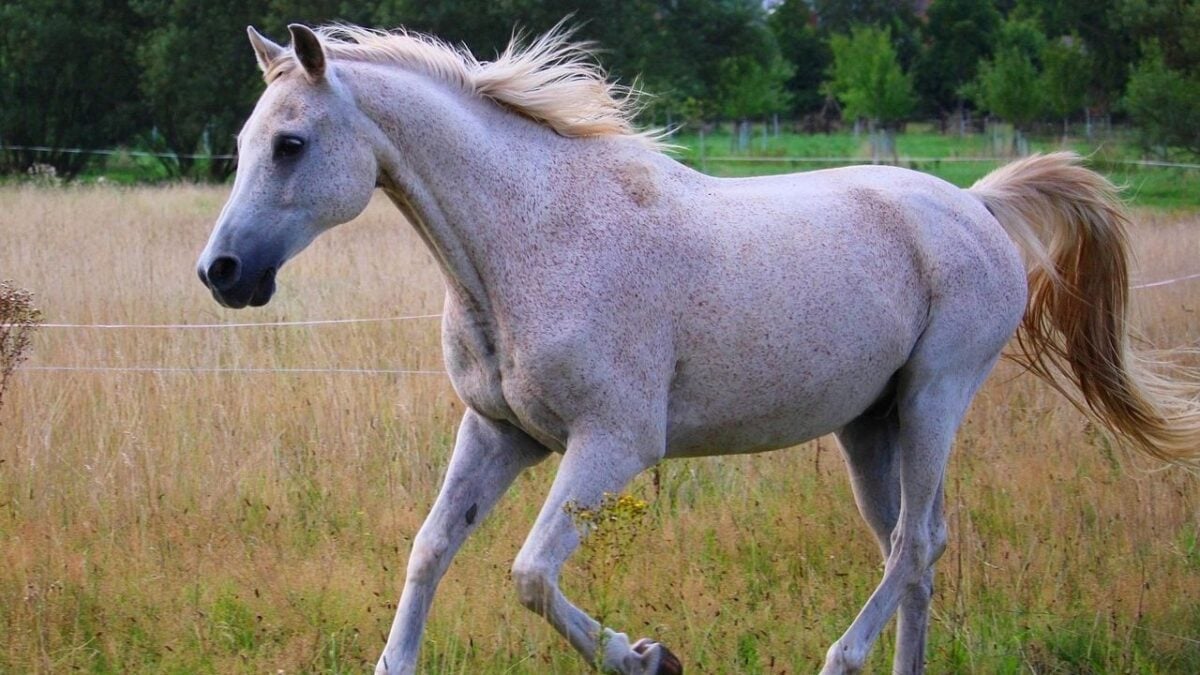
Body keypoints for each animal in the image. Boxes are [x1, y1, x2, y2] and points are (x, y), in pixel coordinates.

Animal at [195, 24, 1200, 675]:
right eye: (244, 140)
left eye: (291, 143)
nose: (222, 271)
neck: (527, 238)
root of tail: (979, 205)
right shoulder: (498, 432)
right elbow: (431, 547)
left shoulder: (613, 443)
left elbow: (528, 572)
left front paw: (646, 655)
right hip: (869, 425)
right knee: (912, 549)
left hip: (933, 398)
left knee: (914, 543)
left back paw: (839, 657)